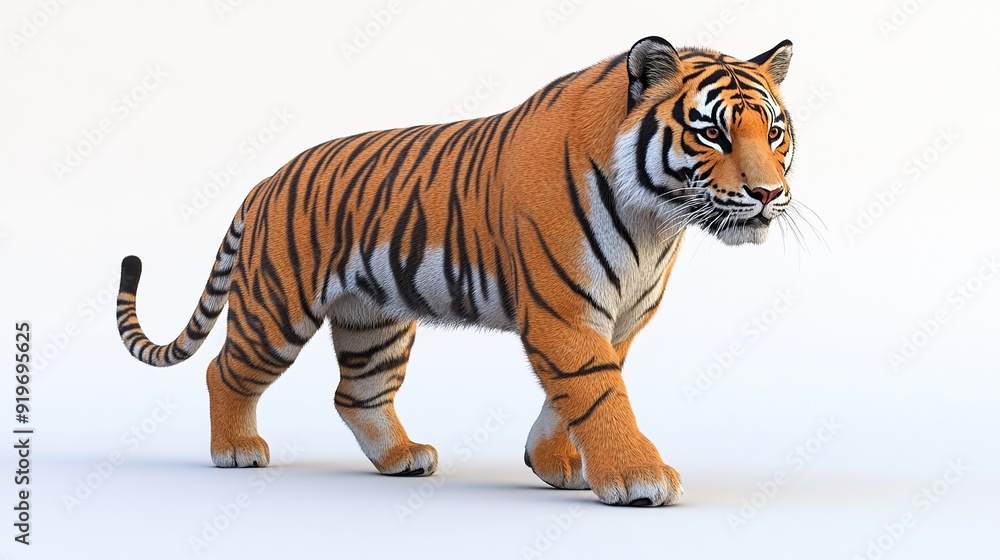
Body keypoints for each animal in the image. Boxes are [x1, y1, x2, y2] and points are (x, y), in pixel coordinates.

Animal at [116, 36, 795, 507]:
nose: (768, 194)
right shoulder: (565, 314)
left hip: (375, 321)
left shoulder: (618, 319)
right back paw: (235, 450)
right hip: (277, 309)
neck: (659, 220)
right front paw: (637, 477)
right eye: (713, 134)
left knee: (357, 393)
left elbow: (577, 393)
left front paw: (554, 463)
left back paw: (402, 458)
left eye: (775, 132)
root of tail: (264, 181)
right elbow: (599, 391)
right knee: (224, 371)